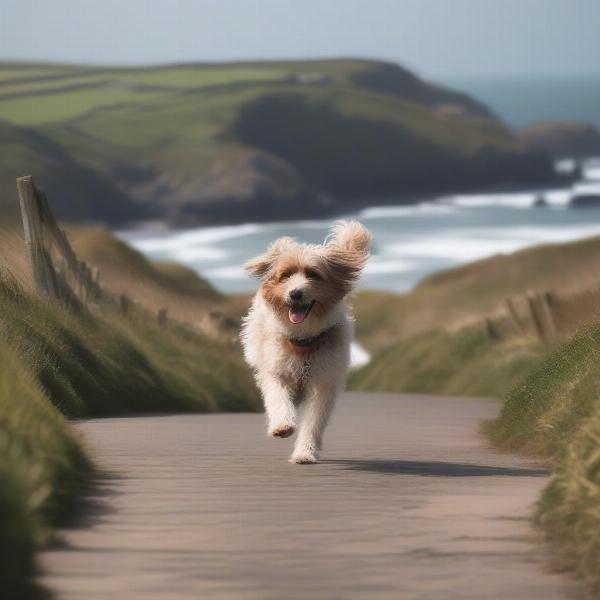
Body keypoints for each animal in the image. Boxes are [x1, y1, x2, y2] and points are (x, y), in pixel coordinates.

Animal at [240, 220, 370, 464]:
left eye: (313, 274)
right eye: (286, 275)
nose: (295, 294)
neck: (304, 341)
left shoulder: (324, 384)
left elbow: (314, 422)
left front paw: (305, 452)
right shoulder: (275, 371)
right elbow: (278, 398)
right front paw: (282, 426)